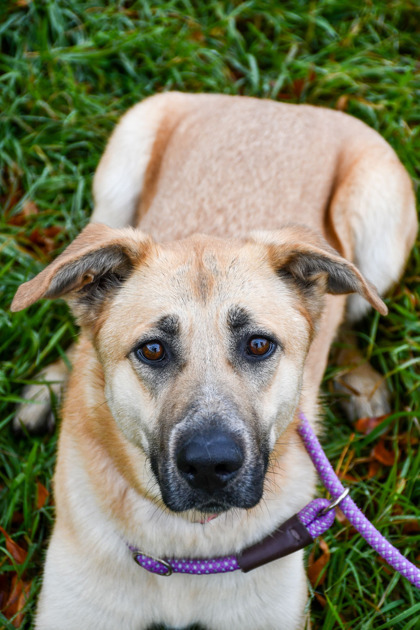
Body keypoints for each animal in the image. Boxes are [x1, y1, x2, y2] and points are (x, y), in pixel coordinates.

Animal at [10, 94, 416, 630]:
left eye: (259, 345)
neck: (189, 546)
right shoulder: (73, 612)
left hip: (379, 232)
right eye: (152, 349)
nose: (209, 465)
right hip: (118, 175)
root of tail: (273, 104)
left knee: (350, 312)